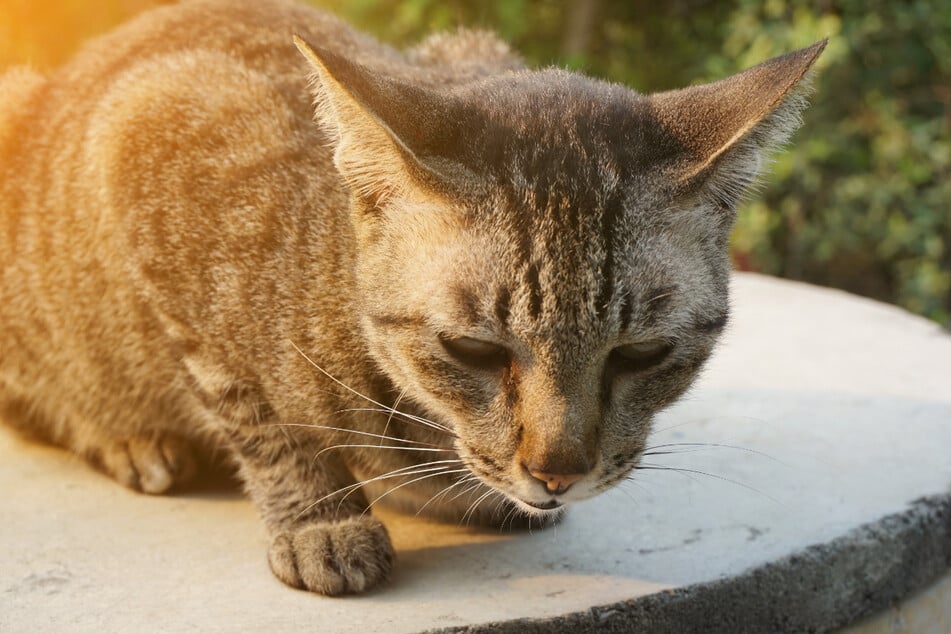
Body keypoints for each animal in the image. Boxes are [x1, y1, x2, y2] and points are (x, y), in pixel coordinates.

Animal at [0, 0, 820, 592]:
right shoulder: (146, 127)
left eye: (642, 353)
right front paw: (320, 520)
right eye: (473, 349)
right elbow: (258, 412)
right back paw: (130, 437)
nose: (557, 472)